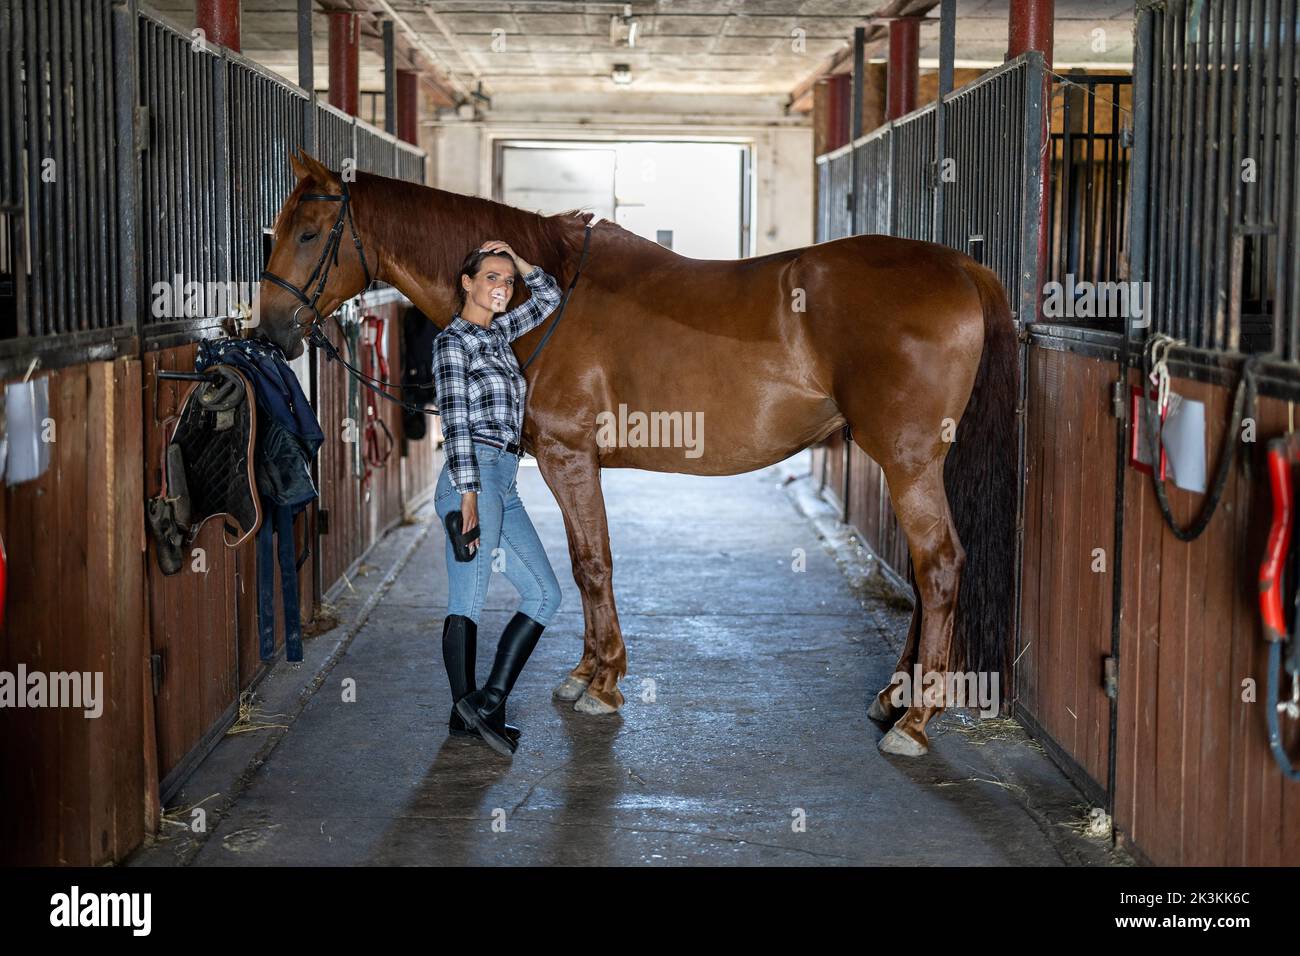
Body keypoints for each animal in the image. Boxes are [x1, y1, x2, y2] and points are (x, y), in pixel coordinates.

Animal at [258, 149, 1018, 756]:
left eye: (308, 233)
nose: (269, 331)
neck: (544, 301)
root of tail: (958, 266)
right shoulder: (569, 463)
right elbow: (583, 561)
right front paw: (584, 675)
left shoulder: (567, 457)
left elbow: (592, 565)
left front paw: (603, 684)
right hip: (909, 464)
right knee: (924, 572)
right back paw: (894, 698)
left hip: (908, 462)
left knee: (939, 567)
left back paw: (913, 723)